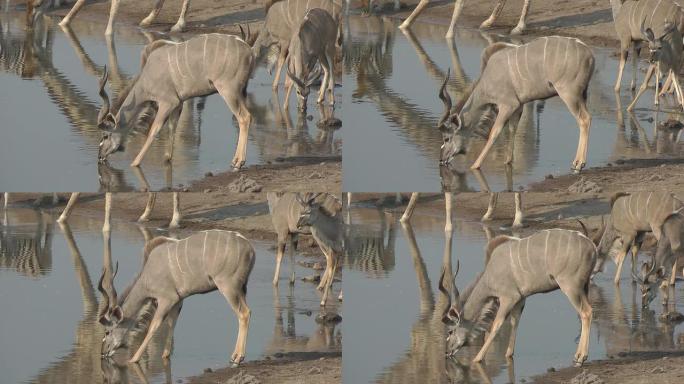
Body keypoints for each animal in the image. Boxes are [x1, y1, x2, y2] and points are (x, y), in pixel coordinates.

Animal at [97, 27, 255, 169]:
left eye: (105, 135)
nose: (100, 156)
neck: (146, 77)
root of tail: (248, 49)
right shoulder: (178, 104)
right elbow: (172, 128)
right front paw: (167, 159)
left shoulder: (168, 102)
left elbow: (154, 130)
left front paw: (134, 163)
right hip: (240, 93)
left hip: (228, 91)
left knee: (244, 117)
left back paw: (238, 162)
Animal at [97, 230, 255, 364]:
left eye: (107, 331)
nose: (103, 353)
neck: (147, 275)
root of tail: (249, 248)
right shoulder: (178, 301)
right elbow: (172, 323)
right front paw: (165, 355)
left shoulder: (167, 299)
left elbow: (153, 326)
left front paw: (133, 359)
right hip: (241, 289)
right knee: (248, 311)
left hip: (228, 288)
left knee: (243, 313)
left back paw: (237, 357)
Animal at [438, 36, 592, 172]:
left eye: (446, 138)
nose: (441, 159)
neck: (486, 79)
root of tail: (589, 54)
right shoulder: (518, 107)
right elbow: (513, 129)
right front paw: (508, 161)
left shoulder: (507, 105)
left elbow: (494, 133)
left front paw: (475, 166)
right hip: (582, 96)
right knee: (588, 117)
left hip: (569, 95)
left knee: (584, 119)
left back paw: (578, 164)